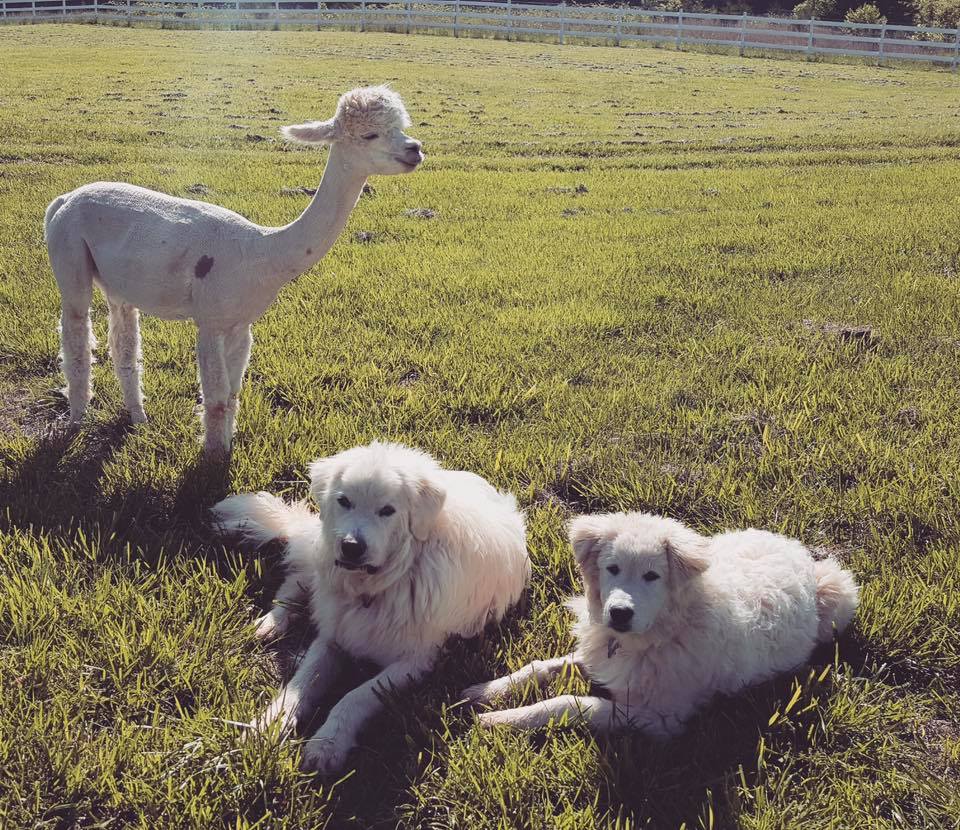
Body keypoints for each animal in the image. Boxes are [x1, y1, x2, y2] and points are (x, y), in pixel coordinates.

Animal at [212, 442, 532, 772]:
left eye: (387, 510)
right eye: (344, 501)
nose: (351, 547)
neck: (382, 583)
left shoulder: (415, 661)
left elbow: (355, 696)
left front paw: (328, 743)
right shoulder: (334, 636)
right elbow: (300, 684)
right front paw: (266, 727)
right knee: (297, 579)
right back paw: (269, 624)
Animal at [462, 512, 860, 740]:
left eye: (652, 576)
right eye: (612, 569)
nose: (619, 613)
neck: (660, 633)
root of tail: (799, 552)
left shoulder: (660, 717)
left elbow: (571, 704)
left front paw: (499, 719)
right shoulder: (602, 655)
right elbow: (540, 667)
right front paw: (486, 690)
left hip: (838, 595)